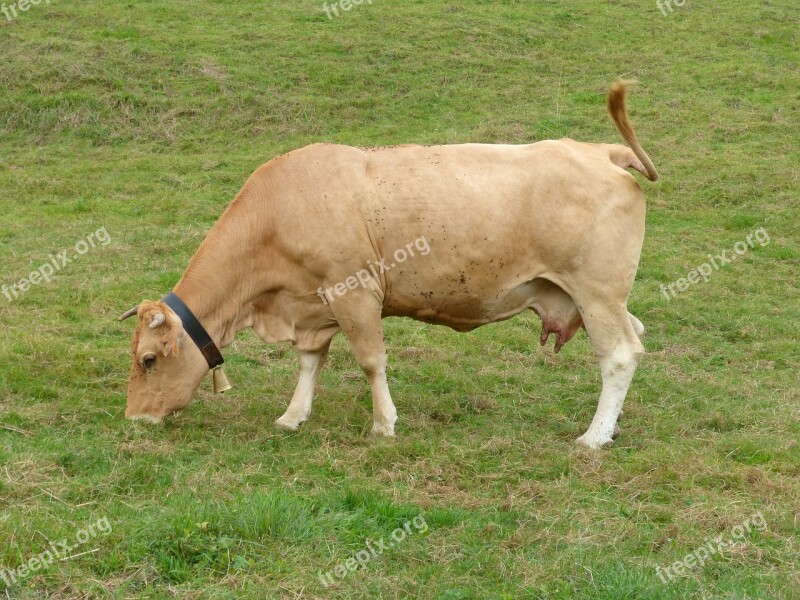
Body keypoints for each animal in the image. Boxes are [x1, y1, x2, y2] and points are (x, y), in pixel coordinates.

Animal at [119, 79, 656, 448]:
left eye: (148, 360)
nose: (134, 418)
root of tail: (598, 151)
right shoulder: (314, 304)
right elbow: (309, 362)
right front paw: (293, 416)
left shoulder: (354, 293)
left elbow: (370, 360)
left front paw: (383, 423)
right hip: (595, 297)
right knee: (637, 333)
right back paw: (611, 427)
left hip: (597, 292)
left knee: (620, 354)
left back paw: (593, 437)